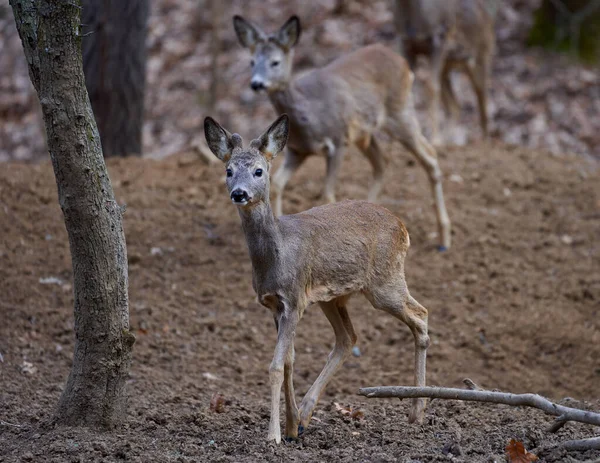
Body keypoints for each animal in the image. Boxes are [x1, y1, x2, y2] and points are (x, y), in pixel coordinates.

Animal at [205, 114, 432, 444]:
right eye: (228, 170)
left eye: (259, 170)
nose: (239, 193)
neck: (277, 256)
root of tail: (402, 225)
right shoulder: (275, 304)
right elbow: (289, 361)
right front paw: (290, 426)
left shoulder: (294, 300)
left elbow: (276, 365)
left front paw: (273, 436)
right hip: (334, 297)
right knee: (348, 338)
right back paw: (306, 416)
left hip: (385, 281)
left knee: (421, 315)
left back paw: (417, 411)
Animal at [233, 14, 450, 250]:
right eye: (252, 61)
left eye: (275, 62)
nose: (257, 84)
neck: (308, 117)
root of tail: (404, 64)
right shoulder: (297, 151)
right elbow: (278, 184)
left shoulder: (338, 141)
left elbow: (328, 194)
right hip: (366, 133)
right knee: (382, 161)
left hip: (399, 112)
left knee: (429, 155)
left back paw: (444, 238)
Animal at [392, 0, 494, 145]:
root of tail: (488, 16)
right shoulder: (405, 42)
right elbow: (407, 86)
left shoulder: (439, 39)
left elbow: (431, 88)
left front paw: (435, 139)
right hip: (447, 66)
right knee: (455, 106)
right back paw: (450, 140)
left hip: (481, 54)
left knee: (482, 96)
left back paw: (484, 141)